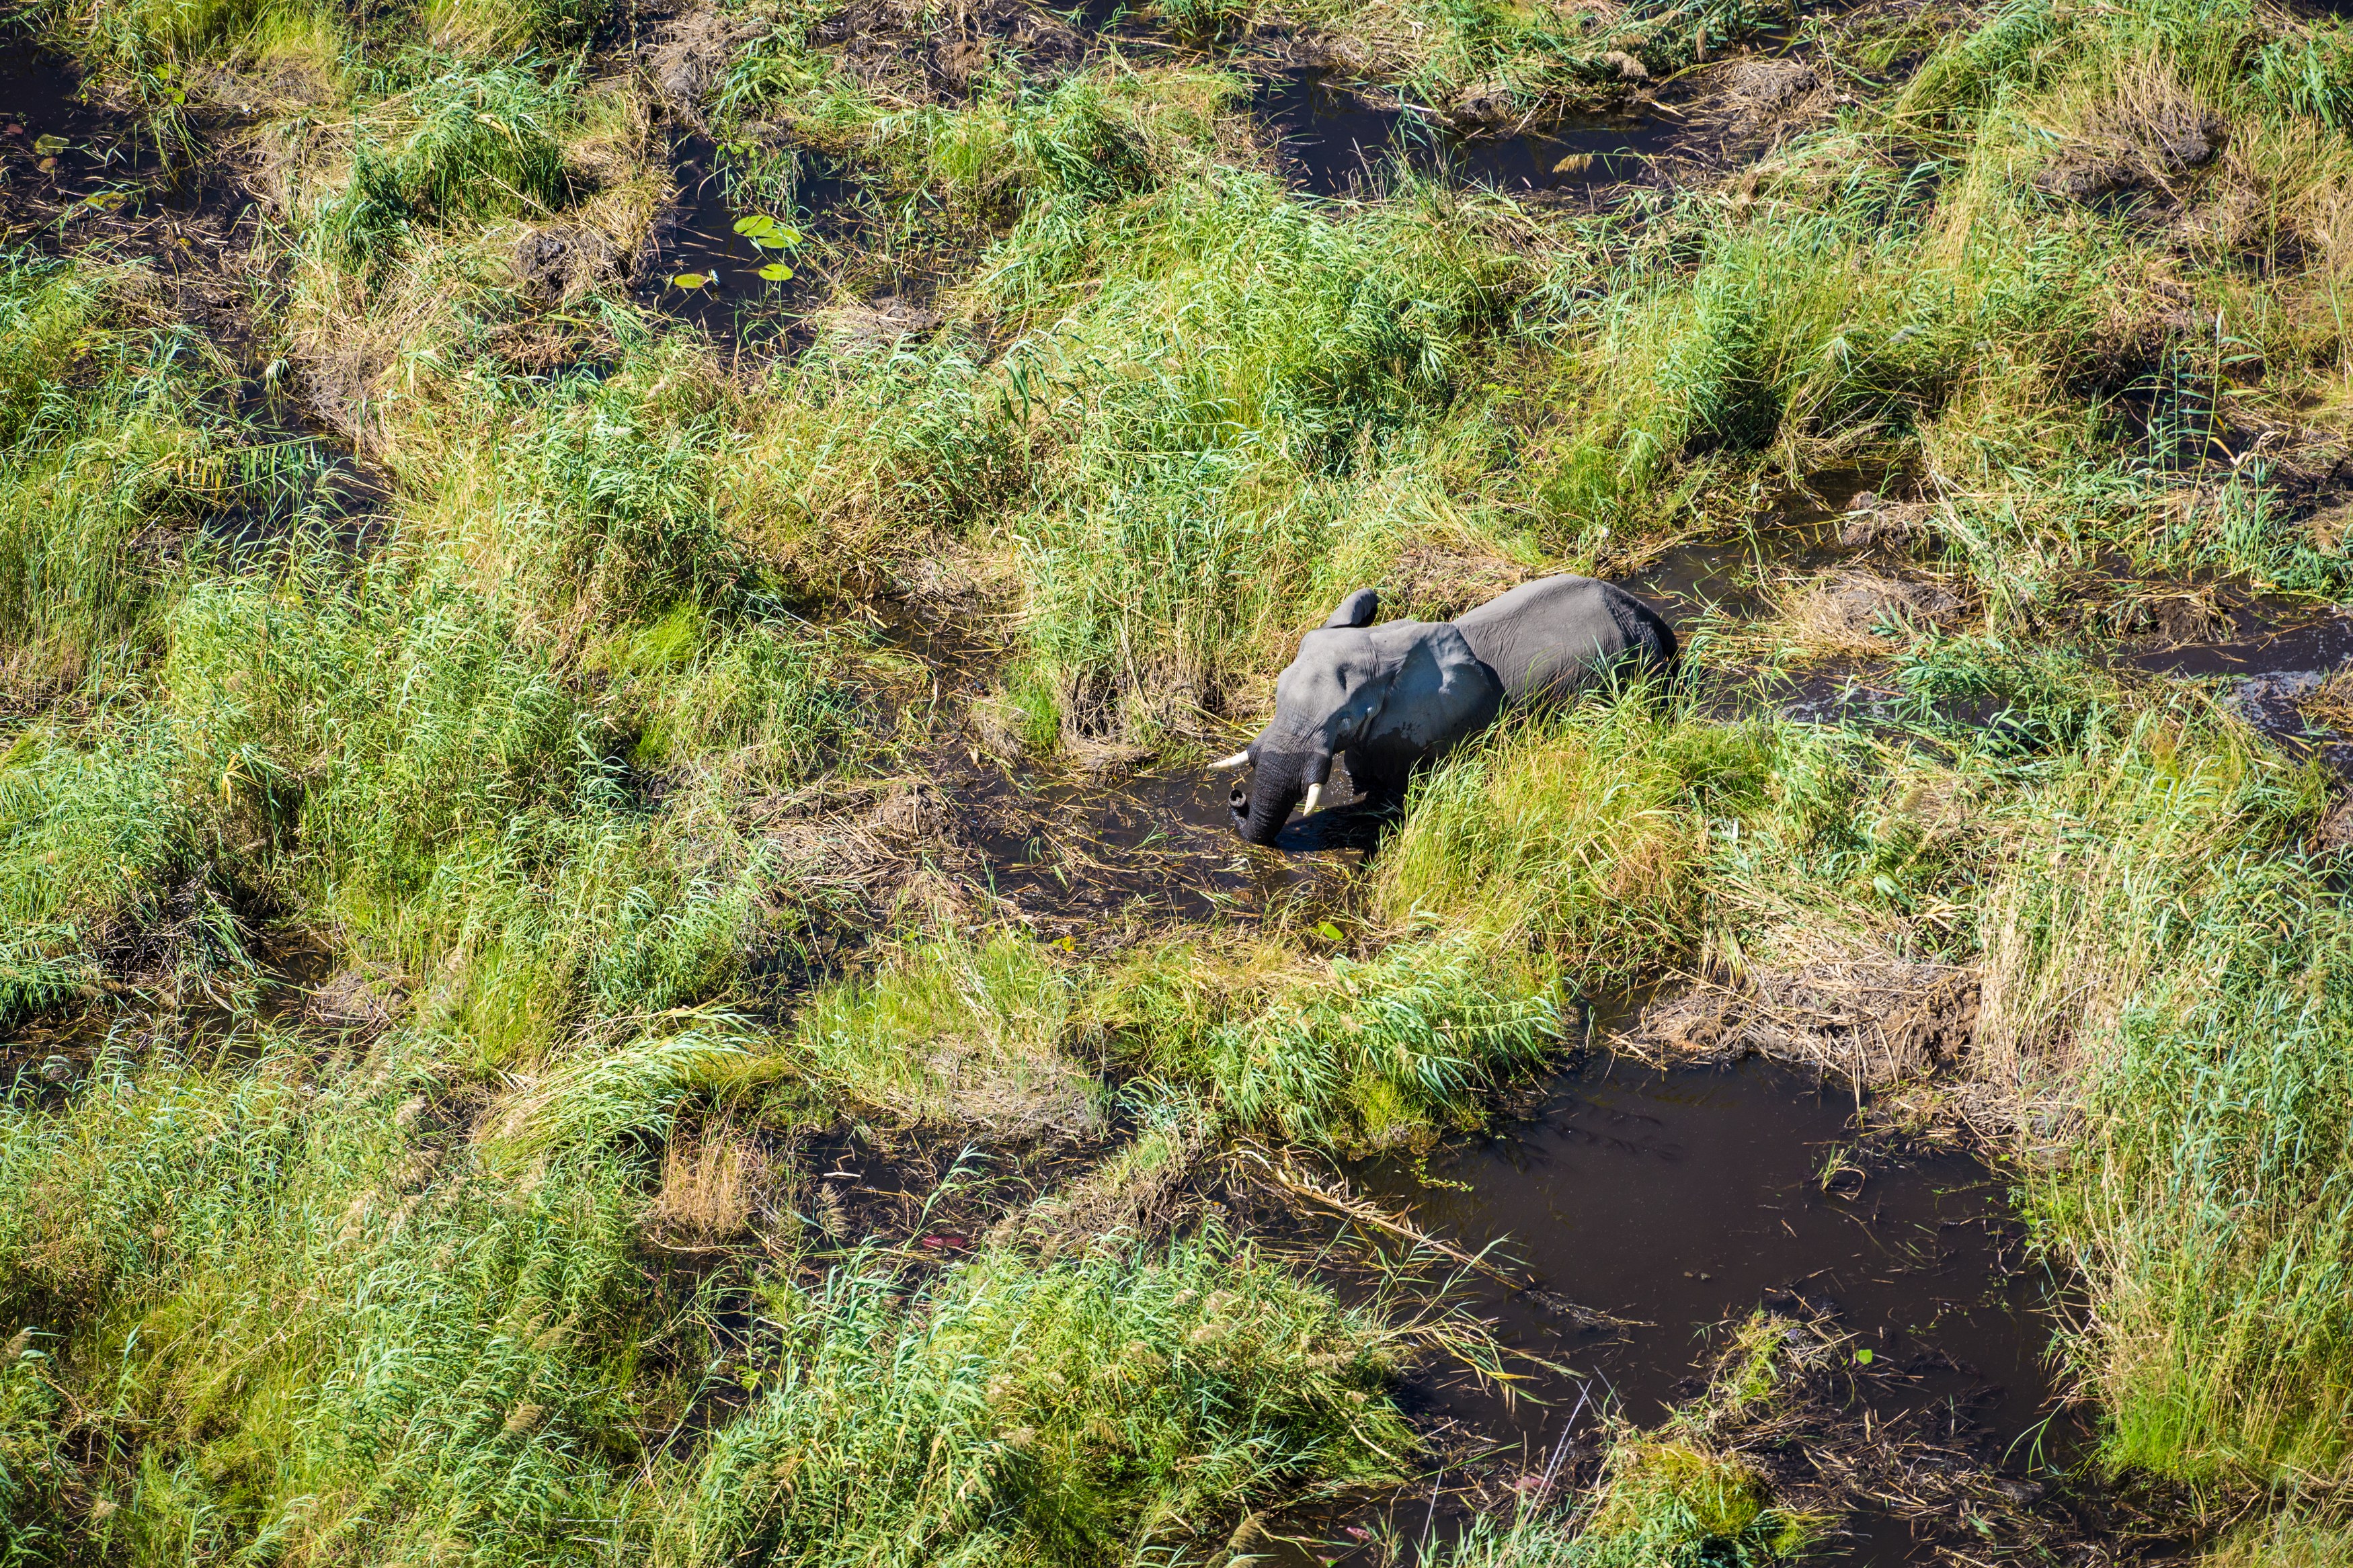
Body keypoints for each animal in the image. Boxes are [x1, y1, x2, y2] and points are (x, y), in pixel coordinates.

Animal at [1215, 574, 1678, 844]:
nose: (1237, 796)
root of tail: (1649, 617)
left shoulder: (1435, 728)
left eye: (1344, 721)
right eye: (1277, 693)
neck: (1380, 645)